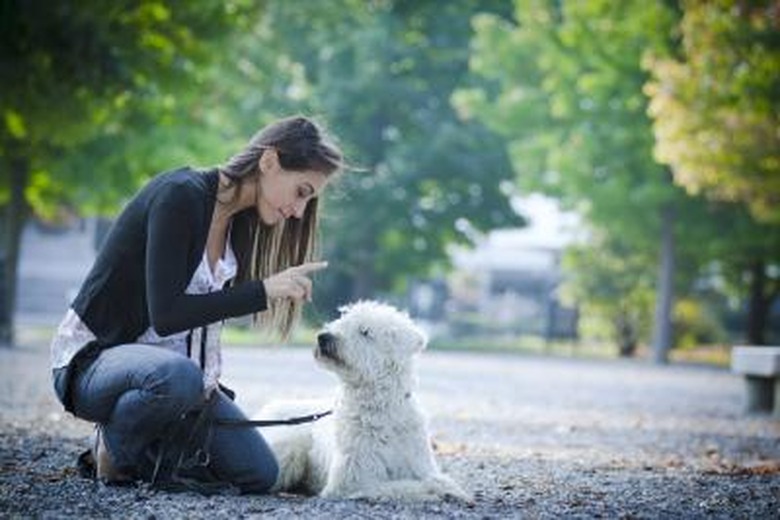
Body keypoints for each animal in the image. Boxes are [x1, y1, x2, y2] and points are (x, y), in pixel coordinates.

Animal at [260, 302, 470, 502]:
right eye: (342, 318)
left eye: (365, 331)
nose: (323, 336)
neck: (379, 405)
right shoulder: (354, 478)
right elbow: (402, 486)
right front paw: (432, 491)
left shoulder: (418, 462)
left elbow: (434, 478)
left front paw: (451, 489)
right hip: (289, 446)